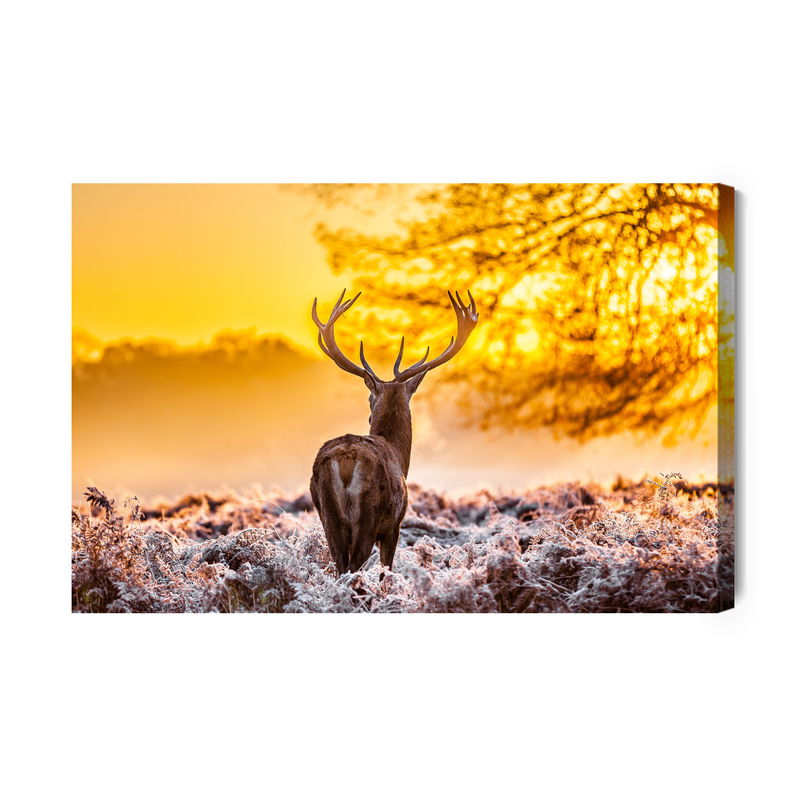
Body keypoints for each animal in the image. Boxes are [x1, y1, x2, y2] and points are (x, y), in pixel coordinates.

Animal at [309, 289, 479, 576]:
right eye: (369, 397)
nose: (368, 413)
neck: (398, 453)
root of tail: (345, 459)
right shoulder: (394, 525)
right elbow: (386, 568)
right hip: (369, 513)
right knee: (353, 565)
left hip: (327, 514)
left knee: (339, 564)